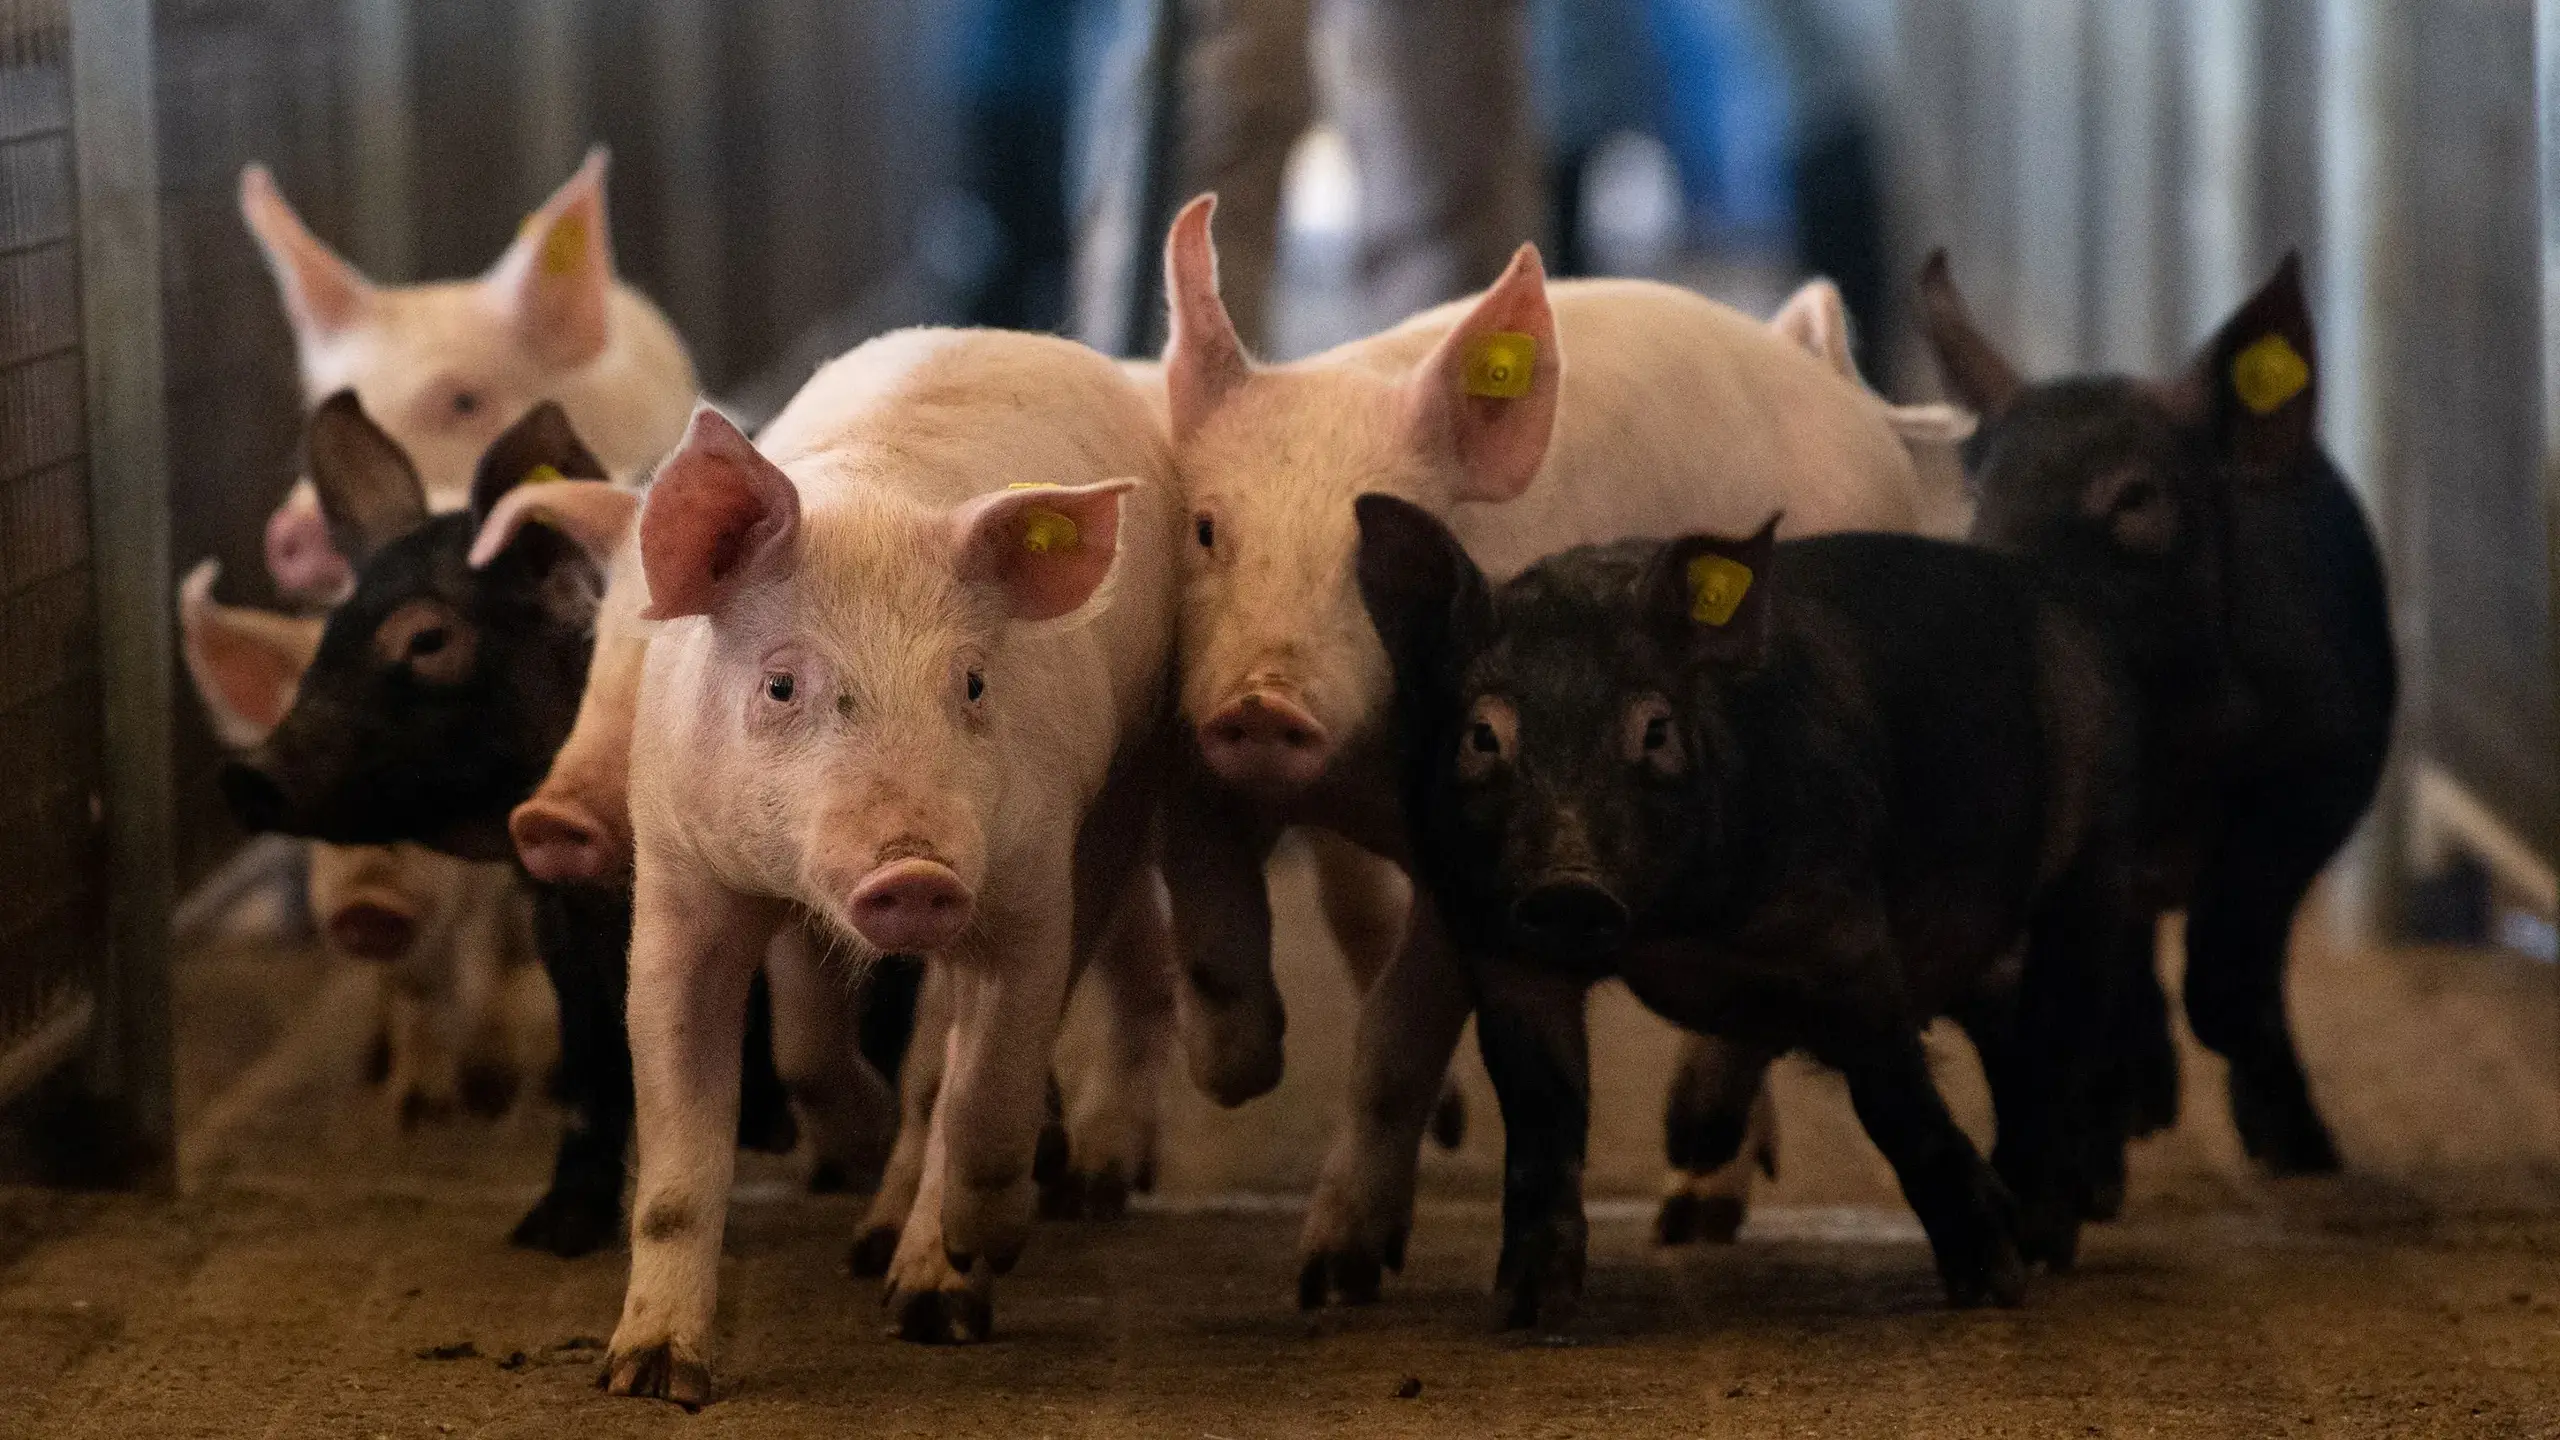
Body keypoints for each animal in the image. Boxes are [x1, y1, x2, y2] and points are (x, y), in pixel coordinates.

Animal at [601, 328, 1175, 1404]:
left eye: (974, 683)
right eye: (782, 685)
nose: (917, 873)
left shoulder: (1031, 881)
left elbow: (985, 1089)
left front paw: (981, 1247)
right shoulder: (680, 878)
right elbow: (687, 1146)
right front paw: (653, 1377)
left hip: (1127, 784)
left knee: (955, 1069)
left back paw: (930, 1297)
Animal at [1152, 195, 1930, 1306]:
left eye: (1369, 558)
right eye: (1209, 529)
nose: (1266, 702)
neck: (1354, 784)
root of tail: (1830, 380)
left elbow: (1394, 1040)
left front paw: (1332, 1278)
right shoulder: (1198, 753)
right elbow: (1214, 922)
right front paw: (1241, 1070)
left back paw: (1688, 1170)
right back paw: (1693, 1208)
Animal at [1356, 498, 2150, 1325]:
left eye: (1655, 729)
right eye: (1484, 735)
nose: (1569, 885)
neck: (1673, 928)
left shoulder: (1845, 934)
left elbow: (1895, 1098)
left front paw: (1993, 1287)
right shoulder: (1505, 950)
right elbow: (1542, 1115)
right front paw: (1529, 1310)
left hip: (2098, 861)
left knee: (2062, 1043)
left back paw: (2043, 1240)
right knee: (2009, 1043)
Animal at [1917, 252, 2396, 1174]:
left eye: (2134, 498)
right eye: (1979, 492)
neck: (2181, 740)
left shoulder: (2335, 753)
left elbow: (2244, 930)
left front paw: (2287, 1138)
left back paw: (2294, 1147)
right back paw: (2143, 1107)